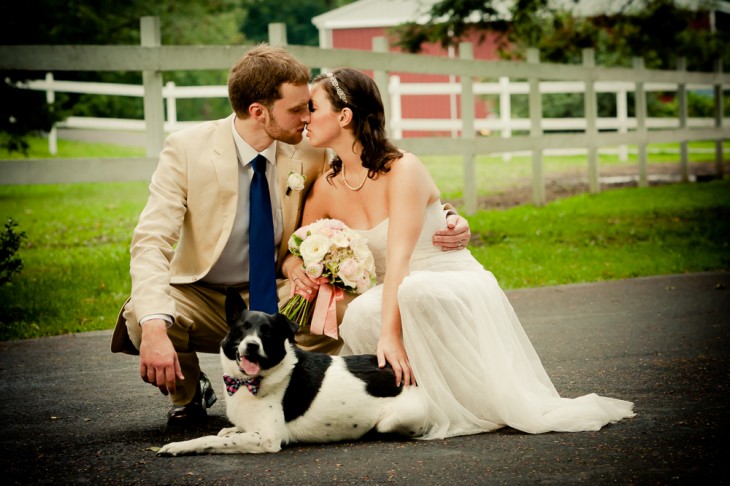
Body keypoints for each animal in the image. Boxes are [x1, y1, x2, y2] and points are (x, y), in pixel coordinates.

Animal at [154, 288, 426, 456]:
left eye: (267, 333)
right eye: (242, 329)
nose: (252, 345)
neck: (249, 381)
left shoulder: (267, 437)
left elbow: (212, 440)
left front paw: (178, 446)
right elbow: (225, 432)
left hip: (395, 419)